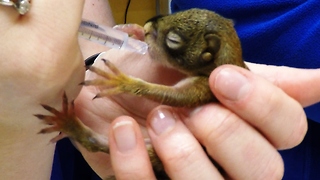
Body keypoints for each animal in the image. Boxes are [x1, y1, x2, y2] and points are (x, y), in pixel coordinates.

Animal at [36, 7, 249, 179]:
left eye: (173, 40)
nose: (147, 27)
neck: (228, 58)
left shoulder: (204, 88)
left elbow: (170, 95)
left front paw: (123, 82)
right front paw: (136, 31)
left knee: (95, 144)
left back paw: (72, 125)